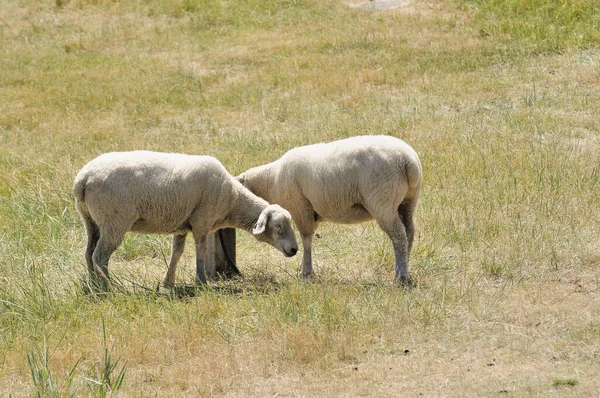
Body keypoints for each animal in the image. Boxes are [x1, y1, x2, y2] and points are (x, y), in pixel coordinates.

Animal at [72, 150, 298, 290]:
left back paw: (93, 286)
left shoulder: (181, 225)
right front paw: (201, 281)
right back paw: (108, 287)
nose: (294, 250)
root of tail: (83, 179)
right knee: (100, 257)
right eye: (278, 226)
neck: (232, 199)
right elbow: (201, 250)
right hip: (114, 220)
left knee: (88, 253)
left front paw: (168, 282)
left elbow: (176, 253)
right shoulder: (201, 220)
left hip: (91, 221)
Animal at [239, 135, 422, 284]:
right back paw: (405, 266)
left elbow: (306, 239)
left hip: (382, 201)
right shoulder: (311, 212)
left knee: (399, 236)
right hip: (408, 202)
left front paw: (306, 272)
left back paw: (401, 275)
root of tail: (408, 160)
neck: (270, 180)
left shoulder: (301, 207)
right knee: (409, 232)